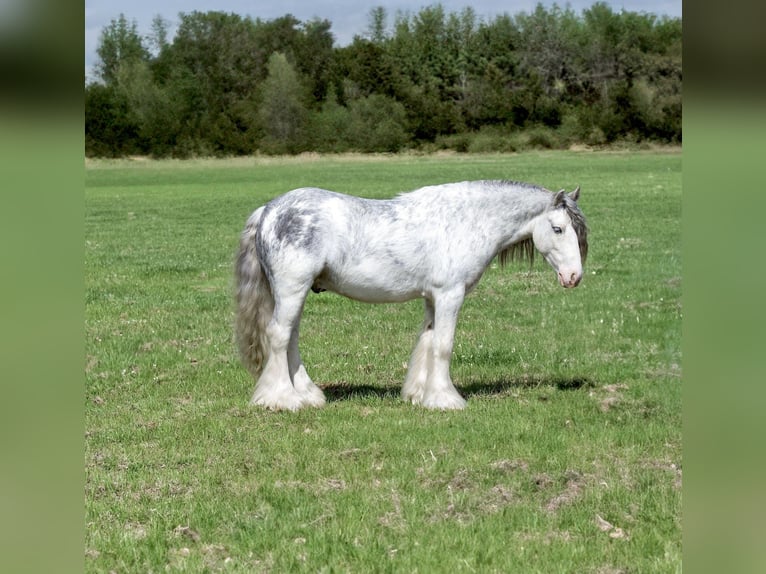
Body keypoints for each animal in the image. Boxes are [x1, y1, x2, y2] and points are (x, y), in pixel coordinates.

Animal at [235, 180, 588, 411]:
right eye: (558, 229)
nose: (574, 277)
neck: (467, 221)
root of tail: (268, 211)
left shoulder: (433, 298)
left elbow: (428, 343)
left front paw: (420, 394)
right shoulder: (450, 295)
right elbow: (444, 345)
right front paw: (447, 400)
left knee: (290, 338)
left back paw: (309, 395)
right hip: (291, 289)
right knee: (279, 336)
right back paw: (283, 399)